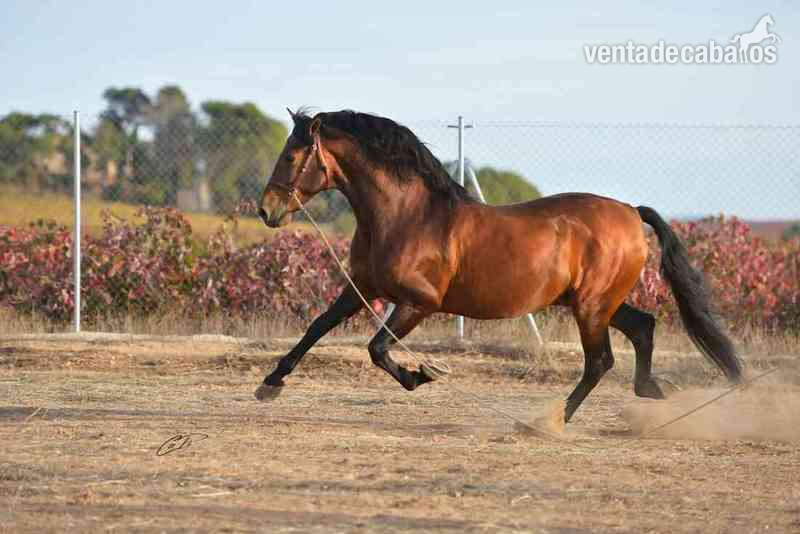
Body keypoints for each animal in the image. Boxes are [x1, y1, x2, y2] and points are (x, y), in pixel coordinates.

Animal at [255, 109, 743, 424]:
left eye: (291, 156)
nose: (266, 210)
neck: (406, 215)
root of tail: (629, 211)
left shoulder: (420, 302)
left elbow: (377, 348)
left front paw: (422, 375)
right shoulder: (362, 286)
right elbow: (317, 326)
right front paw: (270, 383)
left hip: (591, 307)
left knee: (600, 361)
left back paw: (548, 422)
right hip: (597, 303)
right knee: (642, 326)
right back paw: (654, 390)